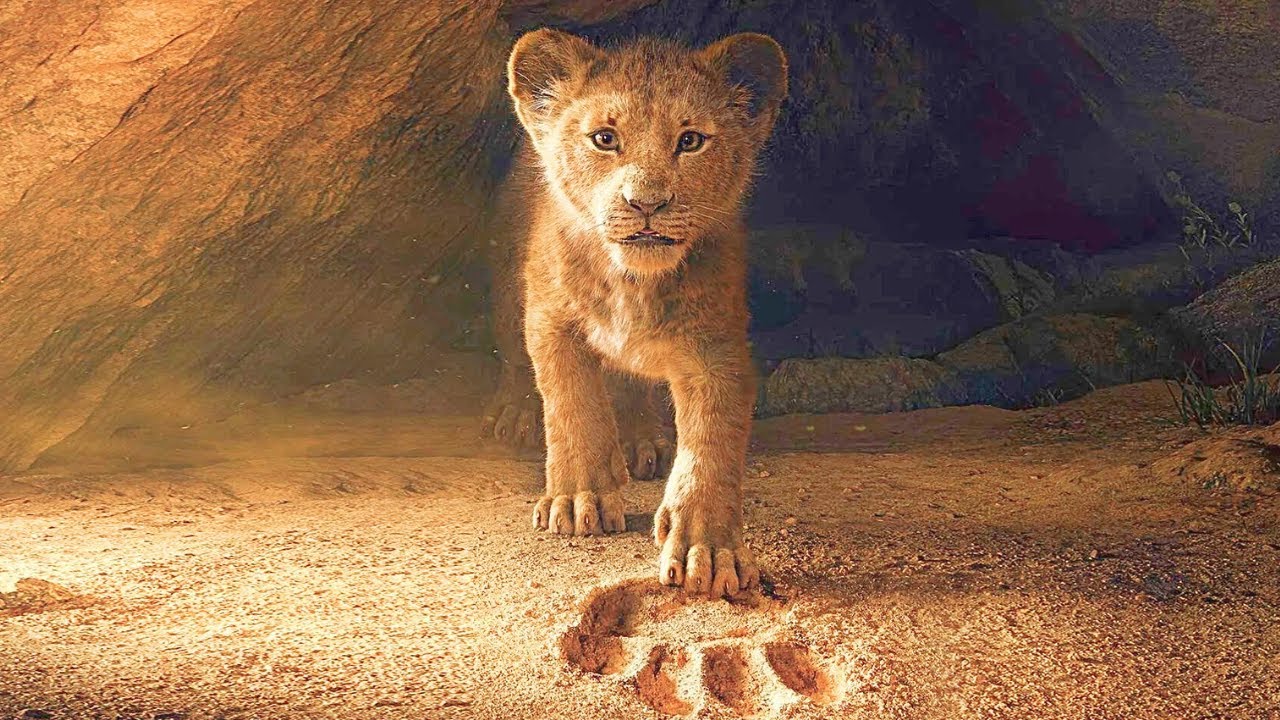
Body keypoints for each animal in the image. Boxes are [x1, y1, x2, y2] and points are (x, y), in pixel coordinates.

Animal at [485, 28, 787, 597]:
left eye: (690, 141)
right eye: (604, 138)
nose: (646, 203)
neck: (633, 281)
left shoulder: (716, 347)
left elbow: (711, 442)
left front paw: (707, 549)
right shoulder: (550, 319)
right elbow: (572, 406)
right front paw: (578, 499)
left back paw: (641, 439)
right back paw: (515, 413)